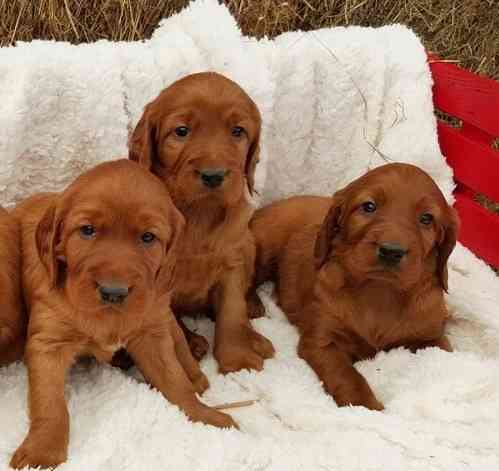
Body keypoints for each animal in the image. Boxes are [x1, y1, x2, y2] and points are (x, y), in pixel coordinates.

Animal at [9, 160, 236, 470]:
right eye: (87, 230)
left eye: (148, 237)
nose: (113, 292)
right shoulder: (48, 343)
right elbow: (49, 402)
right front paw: (42, 451)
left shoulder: (151, 333)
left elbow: (175, 380)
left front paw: (203, 415)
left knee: (177, 340)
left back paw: (195, 375)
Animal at [129, 72, 276, 374]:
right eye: (181, 131)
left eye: (237, 131)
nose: (213, 175)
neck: (199, 214)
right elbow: (168, 318)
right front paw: (189, 343)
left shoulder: (232, 260)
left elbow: (232, 311)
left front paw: (237, 358)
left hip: (248, 241)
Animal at [252, 164, 458, 412]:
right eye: (369, 206)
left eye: (427, 218)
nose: (391, 251)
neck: (379, 291)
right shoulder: (323, 340)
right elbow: (347, 376)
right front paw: (365, 407)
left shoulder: (431, 337)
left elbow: (441, 353)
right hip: (263, 245)